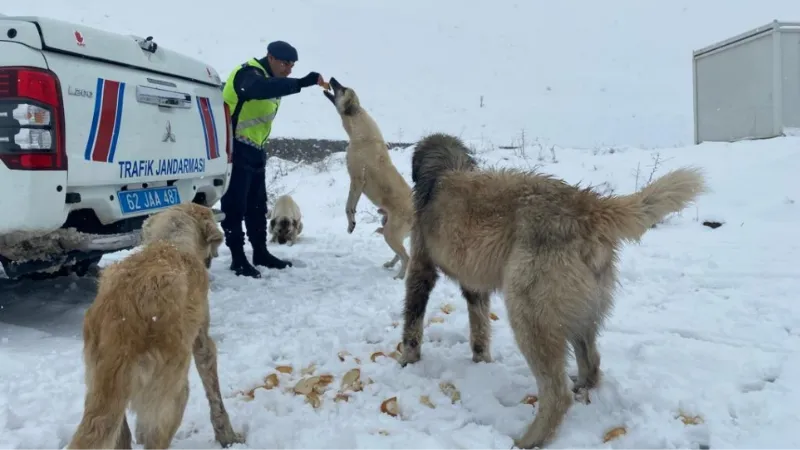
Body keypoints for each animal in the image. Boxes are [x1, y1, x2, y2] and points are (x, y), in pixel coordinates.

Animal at [67, 203, 244, 450]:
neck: (170, 243)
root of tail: (122, 327)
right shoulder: (202, 343)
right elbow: (215, 396)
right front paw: (227, 436)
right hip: (173, 395)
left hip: (101, 390)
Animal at [324, 79, 412, 280]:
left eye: (342, 89)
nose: (331, 79)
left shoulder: (356, 180)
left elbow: (349, 206)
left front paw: (351, 224)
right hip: (388, 229)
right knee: (400, 253)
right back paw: (391, 264)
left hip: (391, 233)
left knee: (407, 256)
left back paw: (400, 276)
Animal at [398, 132, 708, 448]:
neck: (444, 171)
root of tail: (588, 206)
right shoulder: (474, 286)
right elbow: (480, 329)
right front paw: (480, 362)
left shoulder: (421, 268)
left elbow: (413, 321)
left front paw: (408, 361)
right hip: (580, 315)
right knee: (591, 364)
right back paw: (582, 390)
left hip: (529, 315)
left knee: (557, 394)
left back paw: (528, 439)